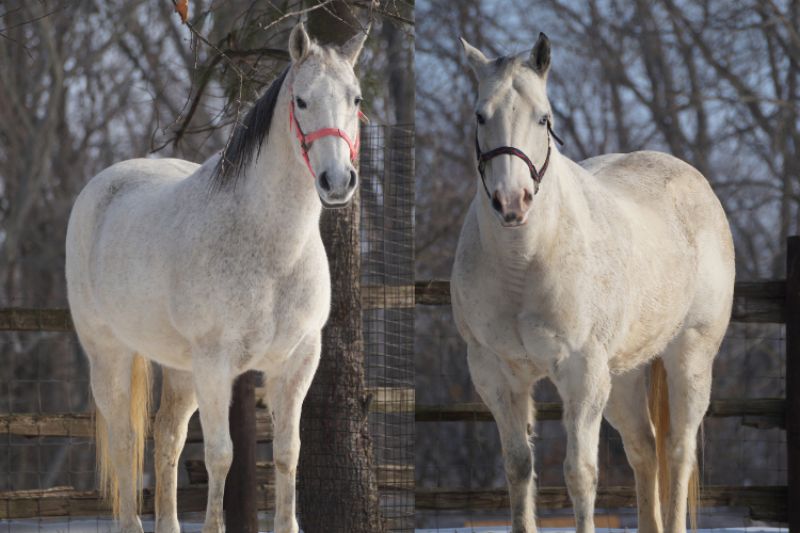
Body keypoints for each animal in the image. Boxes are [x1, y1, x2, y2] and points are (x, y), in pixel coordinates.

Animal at [65, 23, 367, 533]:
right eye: (301, 101)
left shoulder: (297, 361)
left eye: (356, 98)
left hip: (181, 369)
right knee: (126, 439)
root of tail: (99, 188)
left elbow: (287, 453)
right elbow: (221, 456)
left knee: (166, 436)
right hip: (109, 353)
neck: (271, 249)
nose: (338, 181)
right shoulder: (216, 364)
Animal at [451, 33, 735, 533]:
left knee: (677, 452)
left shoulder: (581, 373)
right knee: (644, 449)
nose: (512, 202)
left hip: (690, 356)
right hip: (622, 375)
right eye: (481, 116)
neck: (523, 263)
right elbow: (518, 467)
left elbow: (579, 473)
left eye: (543, 117)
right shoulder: (494, 372)